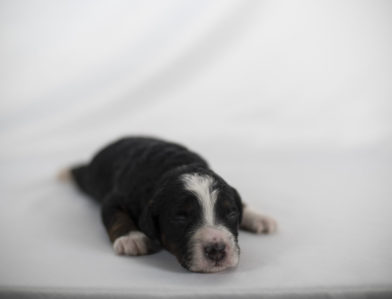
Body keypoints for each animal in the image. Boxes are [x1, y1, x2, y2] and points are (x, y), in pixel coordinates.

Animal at [61, 137, 276, 274]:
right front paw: (132, 238)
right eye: (180, 217)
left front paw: (259, 217)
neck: (174, 166)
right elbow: (116, 216)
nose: (217, 249)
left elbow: (242, 201)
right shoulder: (114, 198)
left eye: (231, 212)